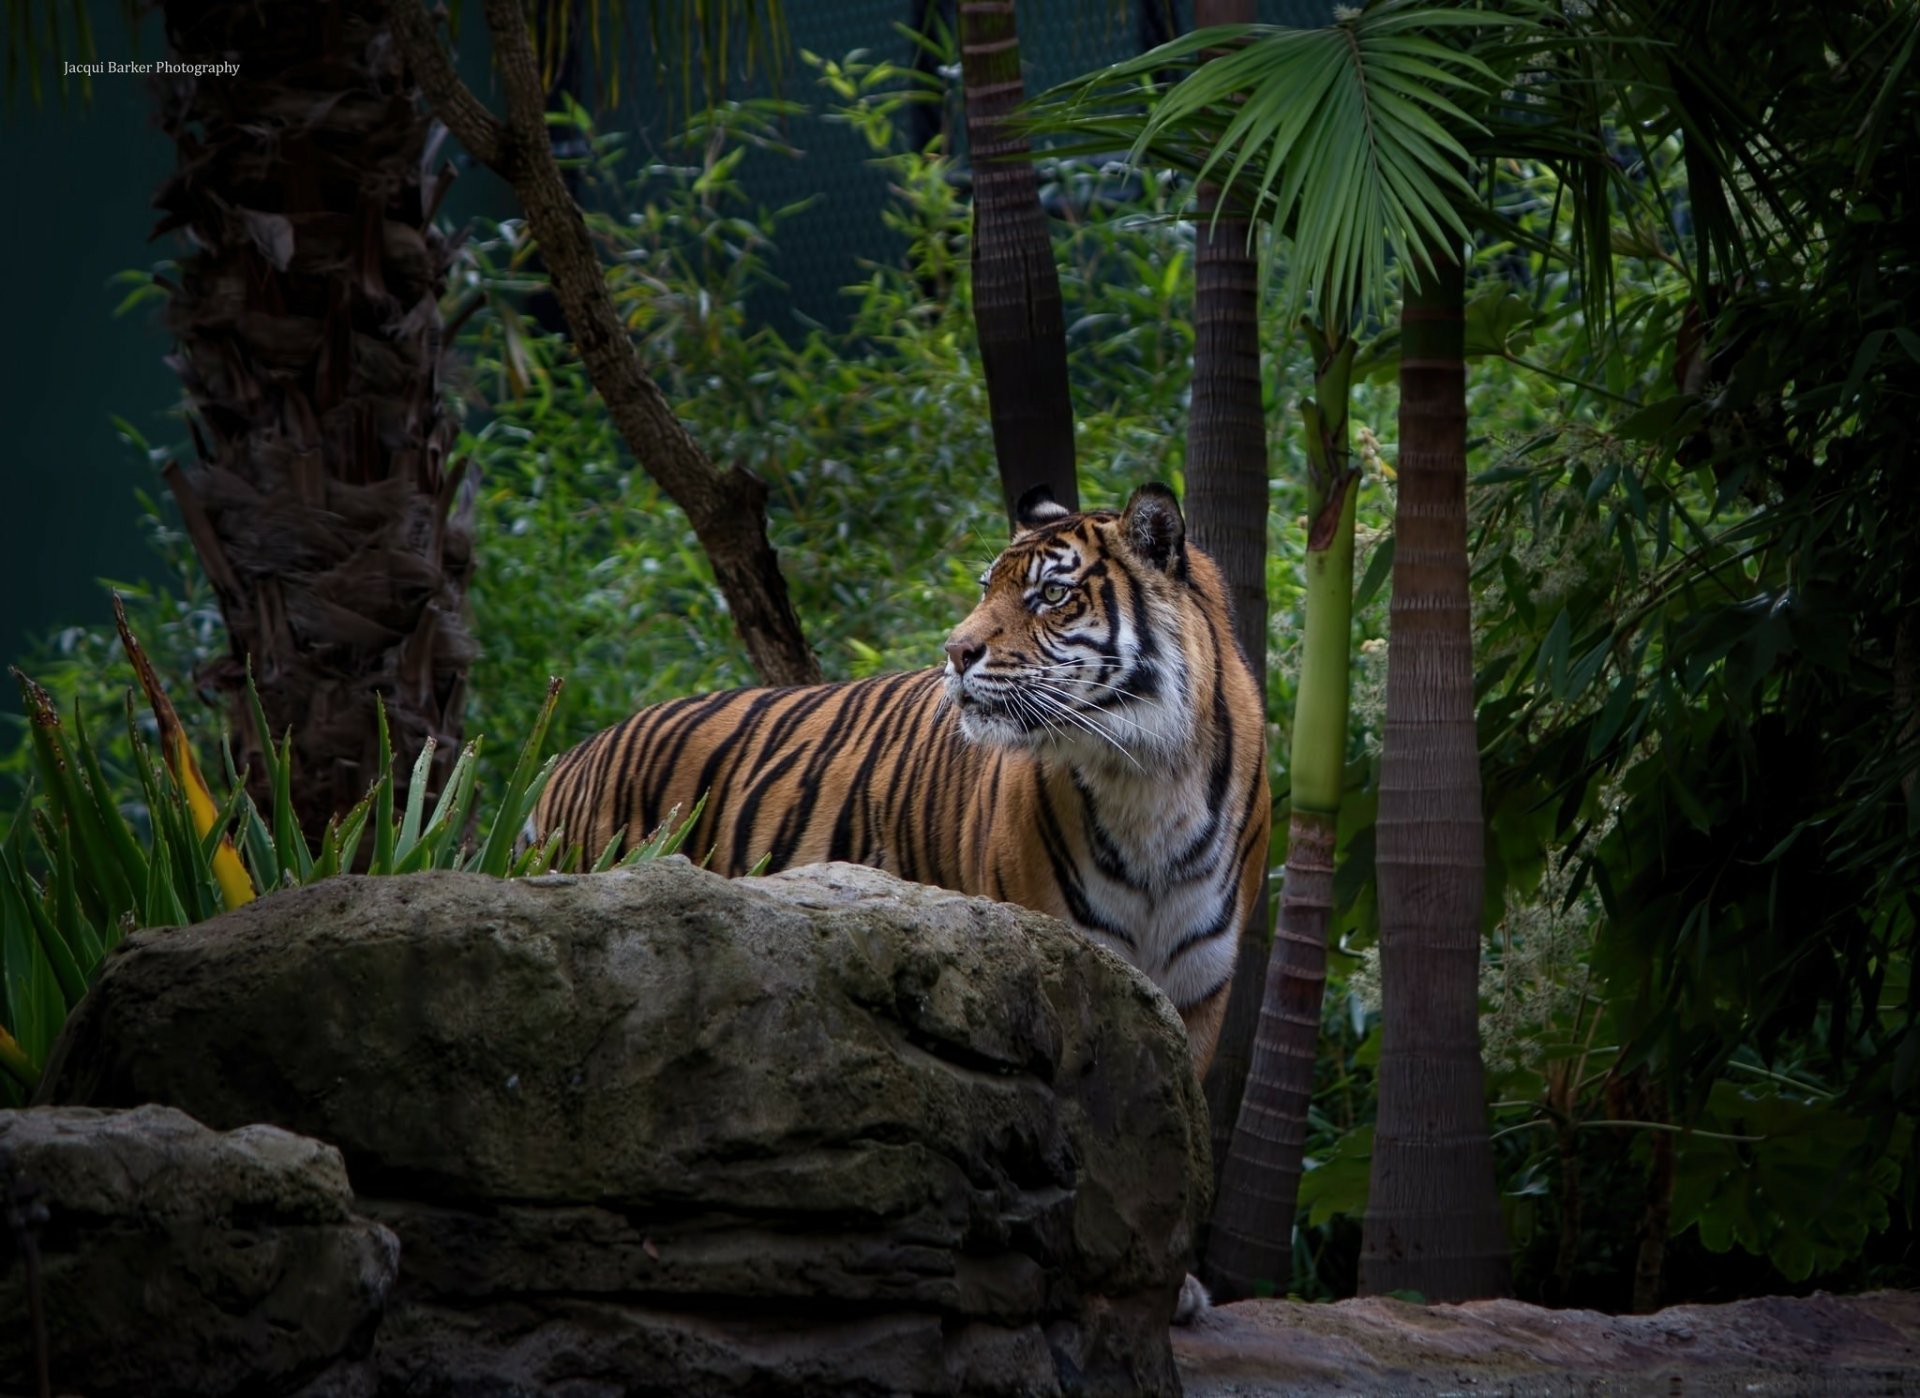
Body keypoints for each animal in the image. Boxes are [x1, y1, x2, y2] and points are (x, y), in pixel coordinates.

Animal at [533, 483, 1267, 1083]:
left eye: (1053, 594)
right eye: (986, 587)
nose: (955, 652)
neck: (1148, 779)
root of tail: (566, 758)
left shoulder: (1197, 996)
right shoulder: (1059, 958)